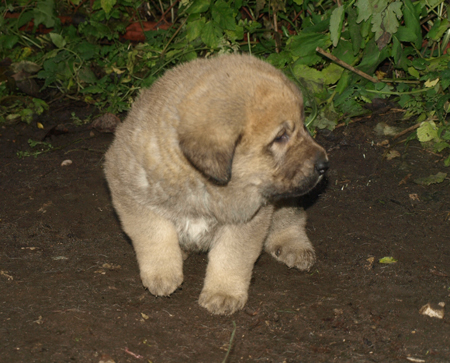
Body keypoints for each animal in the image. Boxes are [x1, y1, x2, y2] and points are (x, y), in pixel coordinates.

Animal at [106, 54, 330, 316]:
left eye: (303, 126)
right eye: (280, 137)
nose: (324, 164)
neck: (200, 182)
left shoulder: (249, 215)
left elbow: (231, 256)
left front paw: (223, 293)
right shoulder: (128, 189)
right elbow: (154, 233)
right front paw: (162, 274)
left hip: (285, 196)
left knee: (291, 219)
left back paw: (293, 245)